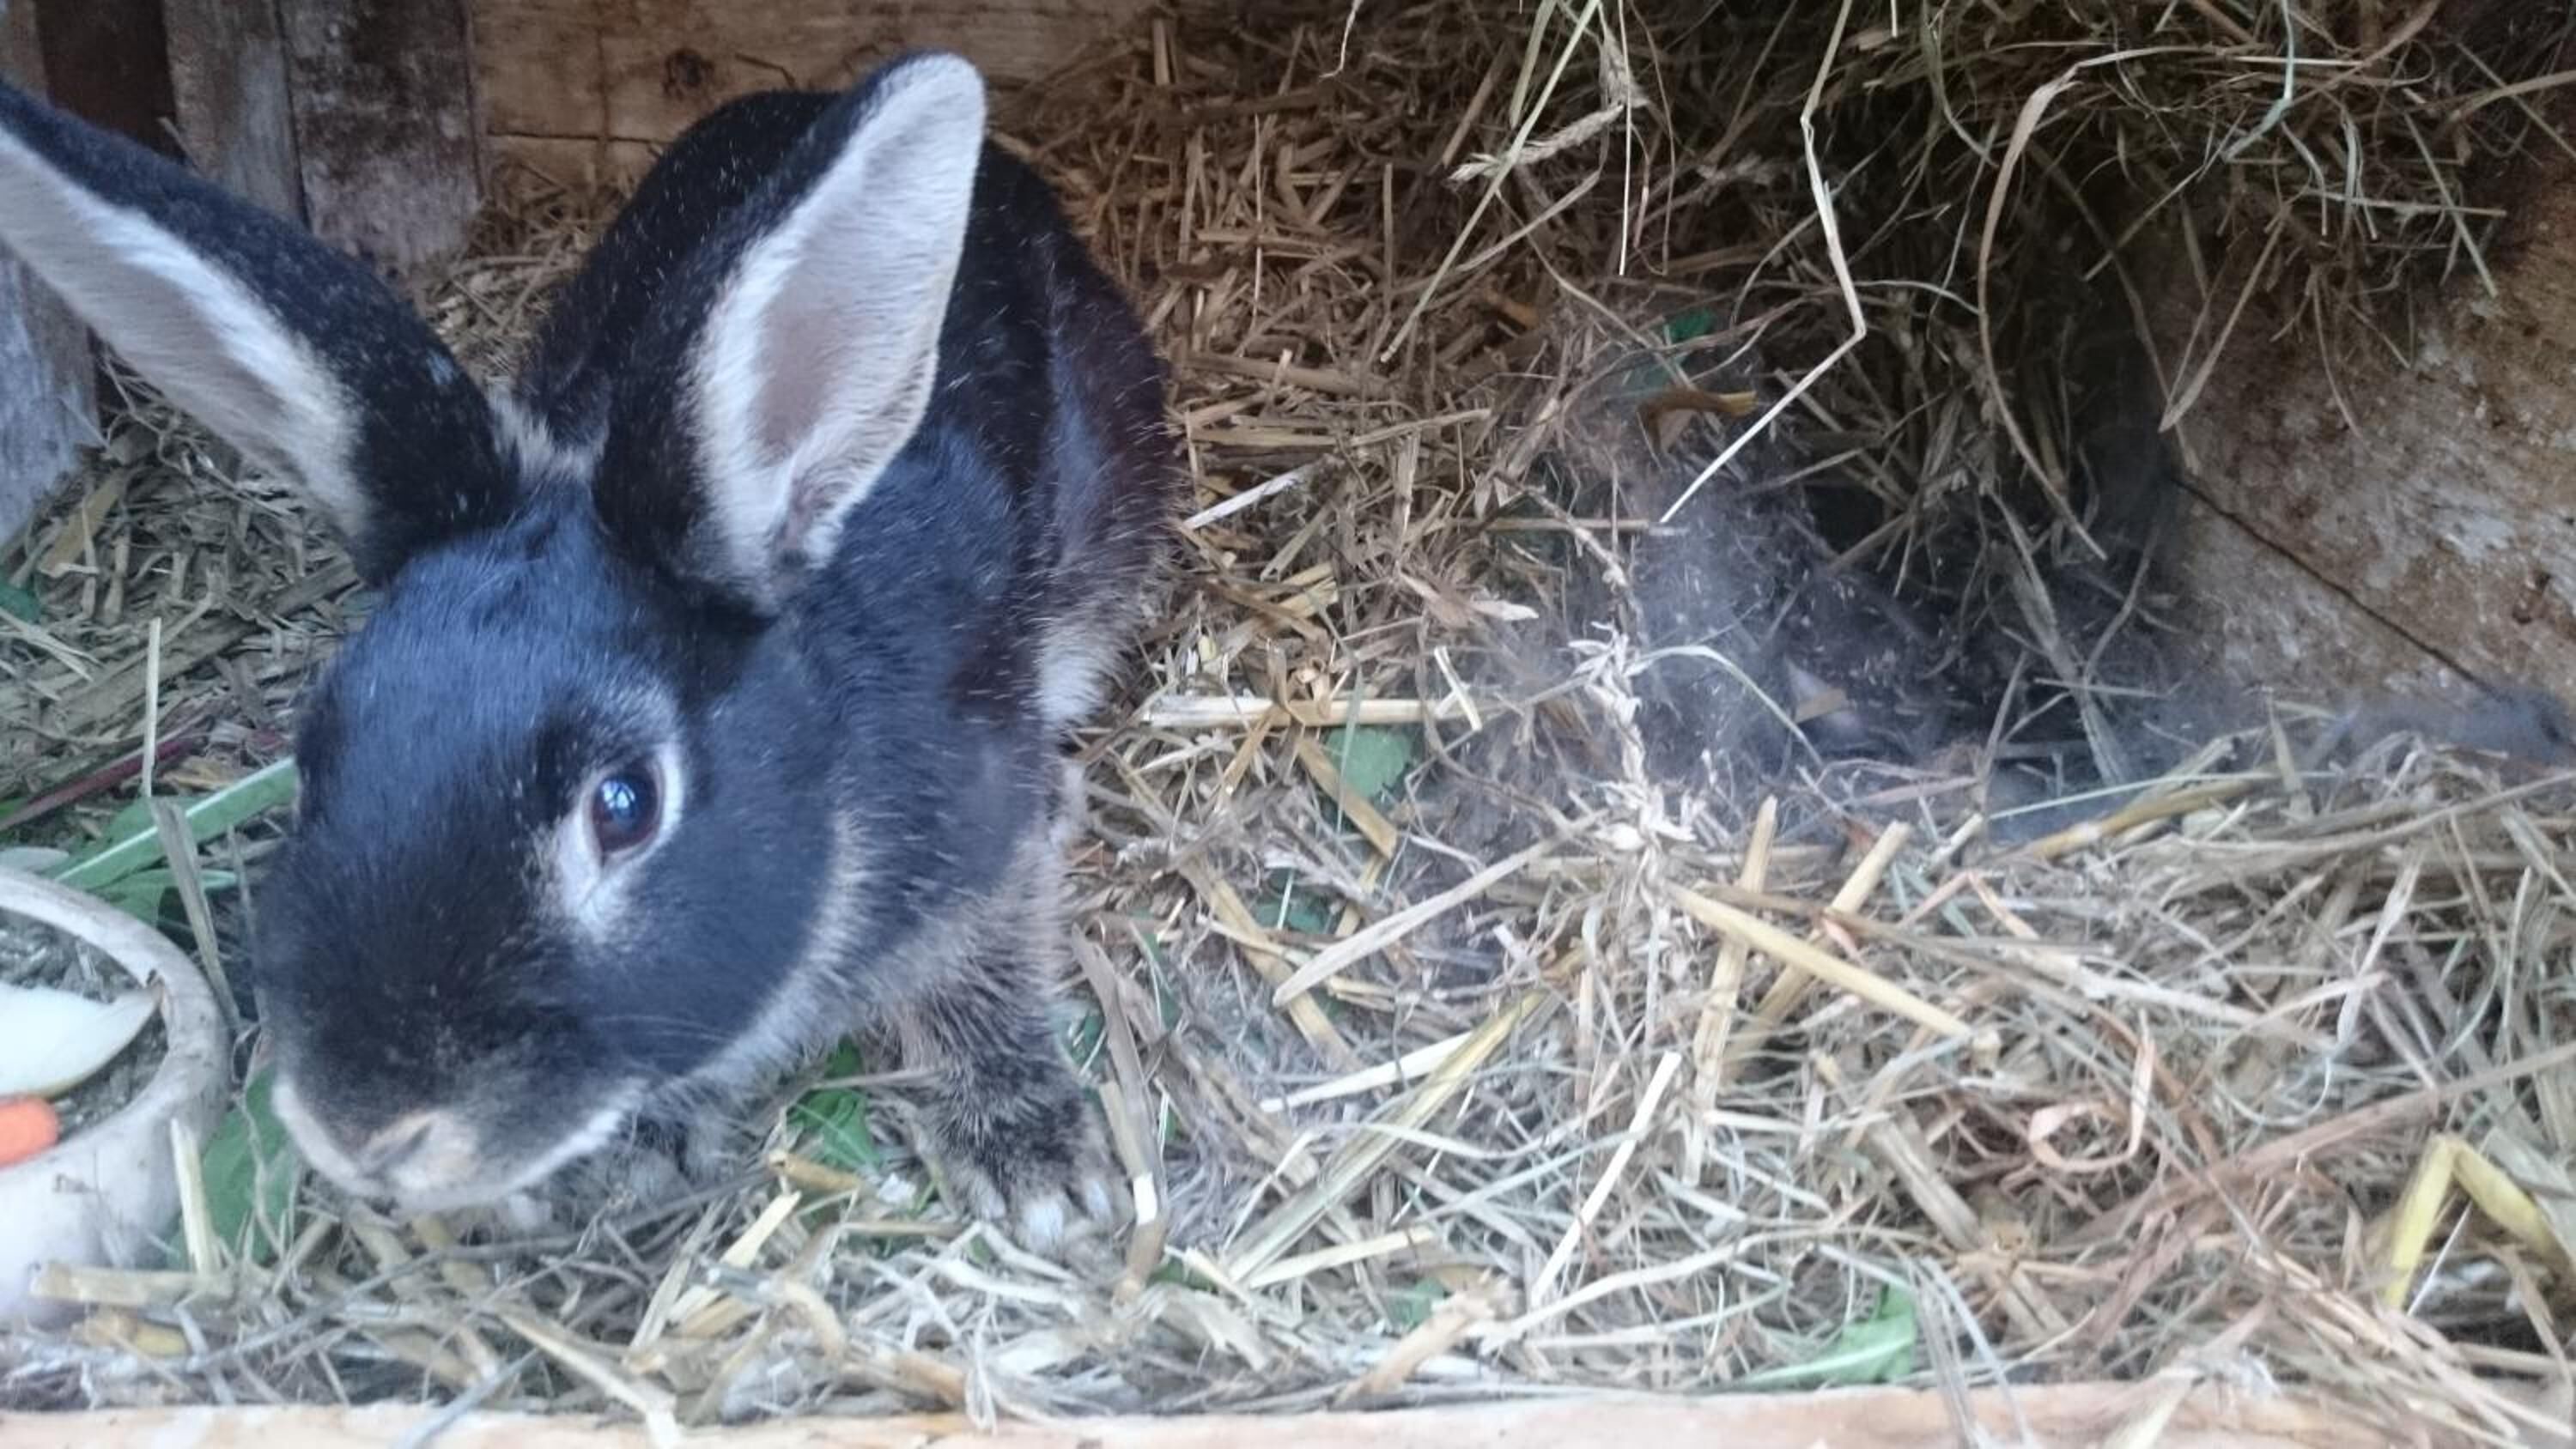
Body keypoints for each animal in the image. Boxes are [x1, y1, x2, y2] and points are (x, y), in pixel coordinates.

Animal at [0, 51, 1180, 1249]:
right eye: (313, 756)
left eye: (625, 805)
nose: (365, 1131)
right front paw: (625, 1159)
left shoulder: (986, 821)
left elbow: (982, 964)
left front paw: (1035, 1157)